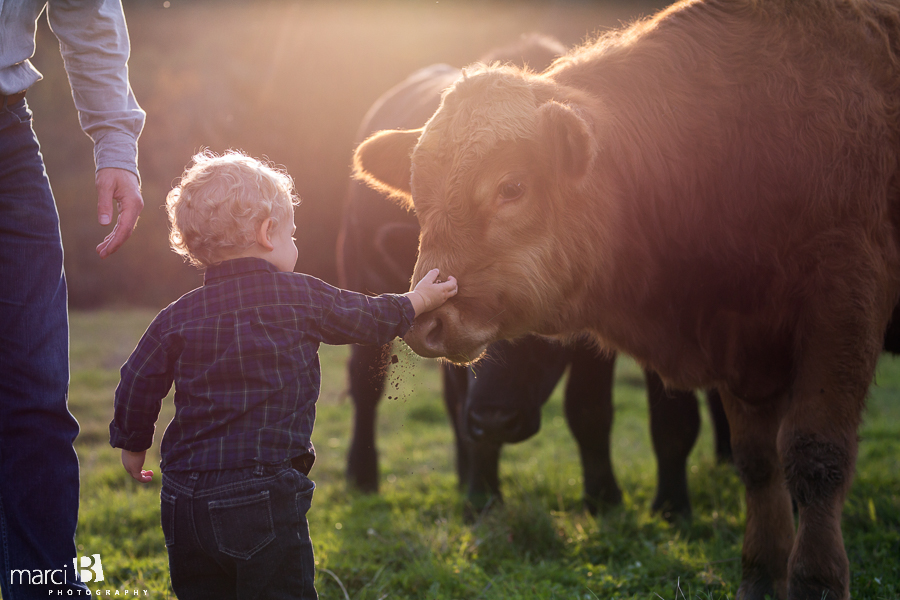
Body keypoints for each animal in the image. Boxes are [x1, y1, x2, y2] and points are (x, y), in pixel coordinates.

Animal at [338, 34, 732, 520]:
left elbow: (600, 410)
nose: (493, 420)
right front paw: (483, 498)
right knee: (366, 383)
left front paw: (621, 500)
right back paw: (362, 476)